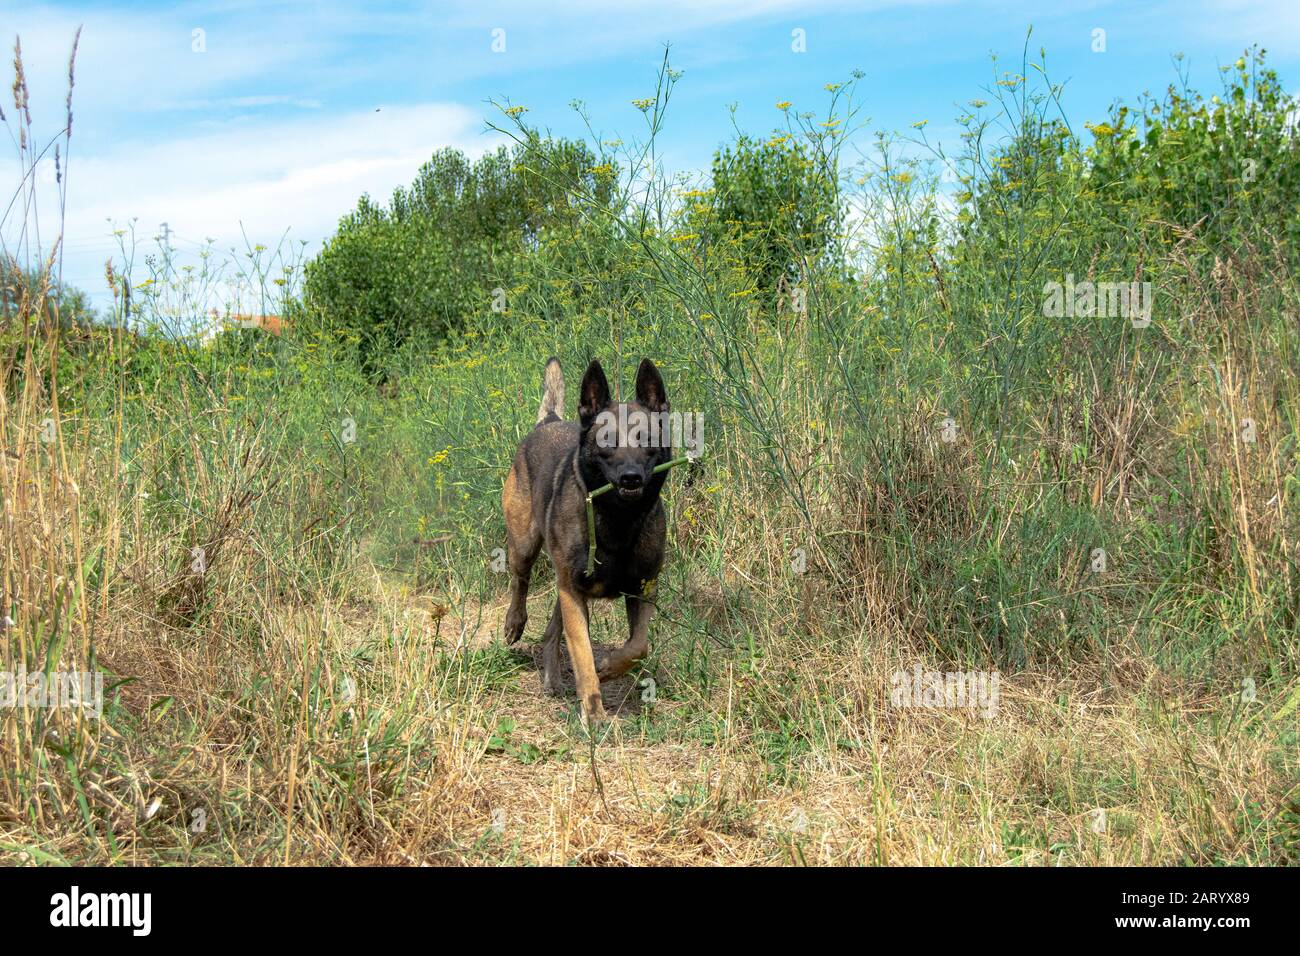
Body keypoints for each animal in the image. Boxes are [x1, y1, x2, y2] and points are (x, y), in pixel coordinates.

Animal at [501, 358, 676, 723]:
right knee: (520, 581)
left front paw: (608, 668)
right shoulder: (574, 592)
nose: (630, 478)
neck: (618, 519)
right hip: (525, 546)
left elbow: (638, 646)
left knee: (553, 630)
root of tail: (550, 421)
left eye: (646, 438)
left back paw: (552, 679)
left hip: (565, 583)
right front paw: (593, 712)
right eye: (607, 440)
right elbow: (581, 654)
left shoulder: (643, 588)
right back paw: (514, 623)